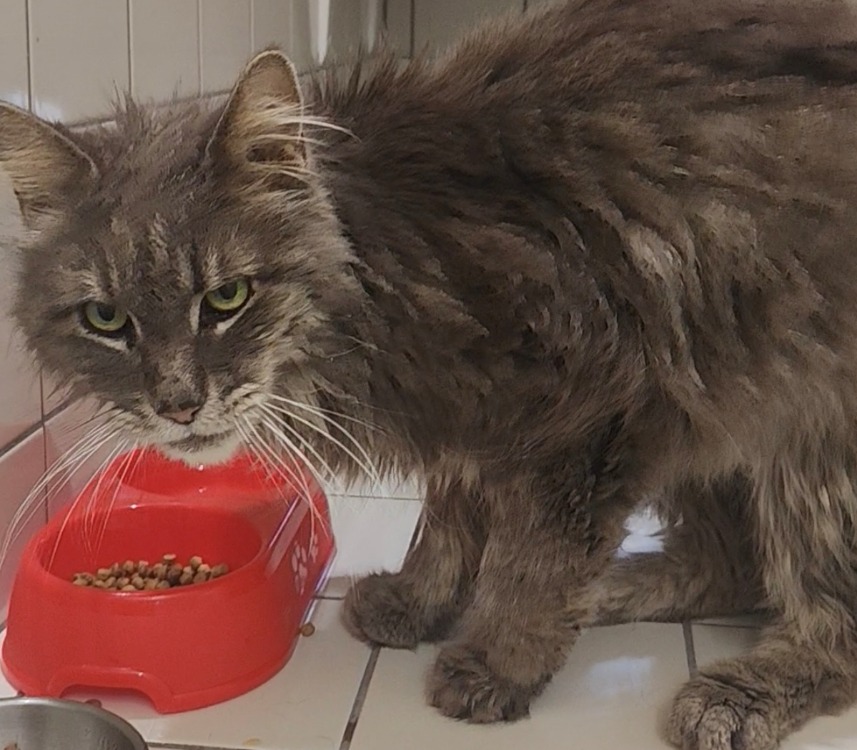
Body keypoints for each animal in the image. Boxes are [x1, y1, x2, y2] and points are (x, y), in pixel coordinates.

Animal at [5, 0, 857, 746]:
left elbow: (537, 561)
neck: (382, 253)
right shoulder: (482, 419)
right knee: (729, 566)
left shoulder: (592, 409)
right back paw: (617, 589)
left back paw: (732, 692)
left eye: (225, 298)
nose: (177, 403)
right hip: (712, 402)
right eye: (106, 320)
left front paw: (501, 659)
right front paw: (420, 600)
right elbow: (447, 522)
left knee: (828, 628)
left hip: (803, 426)